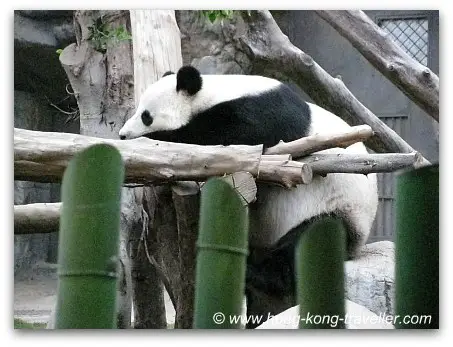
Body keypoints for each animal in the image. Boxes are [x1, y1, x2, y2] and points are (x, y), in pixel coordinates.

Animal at [117, 66, 378, 324]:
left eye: (146, 116)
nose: (122, 135)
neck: (215, 92)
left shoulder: (266, 113)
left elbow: (231, 137)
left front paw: (155, 140)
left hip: (339, 209)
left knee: (304, 244)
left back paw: (256, 272)